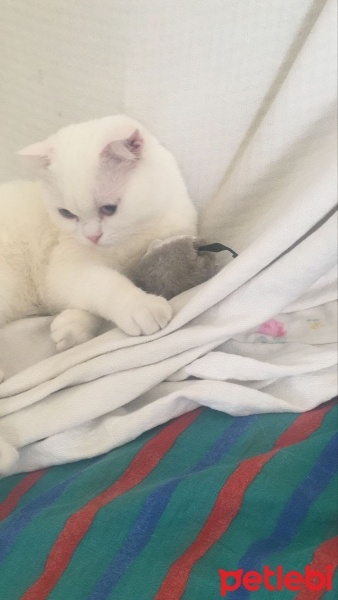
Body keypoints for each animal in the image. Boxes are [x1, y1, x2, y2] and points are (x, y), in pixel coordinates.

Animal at [0, 115, 197, 382]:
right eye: (66, 213)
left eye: (109, 209)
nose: (92, 236)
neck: (134, 236)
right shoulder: (64, 267)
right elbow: (102, 283)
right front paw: (138, 305)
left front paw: (74, 327)